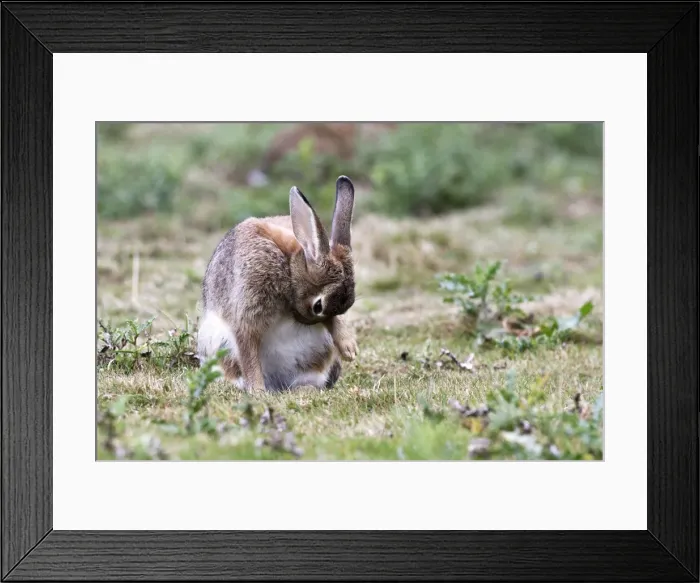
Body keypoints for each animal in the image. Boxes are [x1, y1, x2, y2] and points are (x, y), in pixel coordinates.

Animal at [196, 175, 358, 393]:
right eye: (318, 306)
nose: (304, 322)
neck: (288, 264)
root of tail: (278, 384)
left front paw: (349, 348)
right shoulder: (246, 312)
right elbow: (248, 352)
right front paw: (257, 391)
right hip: (217, 344)